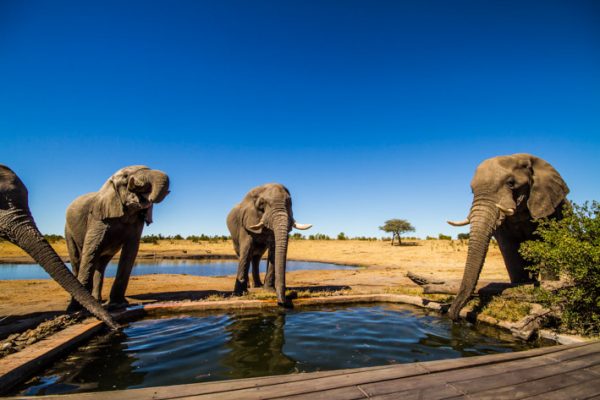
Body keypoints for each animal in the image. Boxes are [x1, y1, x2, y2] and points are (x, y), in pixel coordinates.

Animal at [65, 166, 169, 310]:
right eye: (126, 177)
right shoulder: (98, 217)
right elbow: (92, 248)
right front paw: (76, 308)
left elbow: (130, 251)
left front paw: (117, 304)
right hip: (68, 230)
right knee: (77, 260)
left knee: (101, 265)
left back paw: (97, 300)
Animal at [448, 153, 568, 318]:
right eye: (472, 191)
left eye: (511, 183)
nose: (453, 315)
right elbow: (509, 248)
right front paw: (521, 286)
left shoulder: (549, 207)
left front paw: (550, 289)